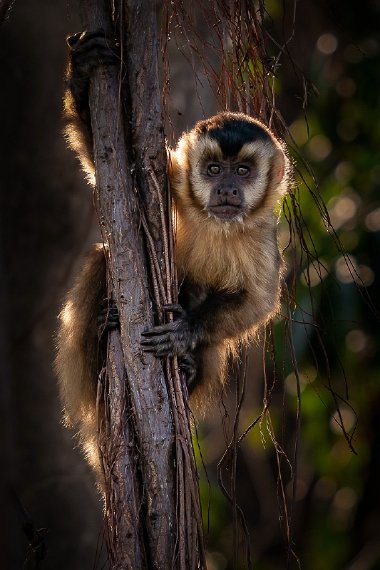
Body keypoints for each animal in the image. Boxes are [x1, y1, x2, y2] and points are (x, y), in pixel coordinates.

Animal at [55, 30, 290, 470]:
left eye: (243, 171)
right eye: (214, 170)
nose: (227, 189)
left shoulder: (266, 237)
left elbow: (258, 302)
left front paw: (185, 332)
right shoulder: (170, 184)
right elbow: (105, 161)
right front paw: (82, 70)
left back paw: (189, 369)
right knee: (103, 258)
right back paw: (101, 330)